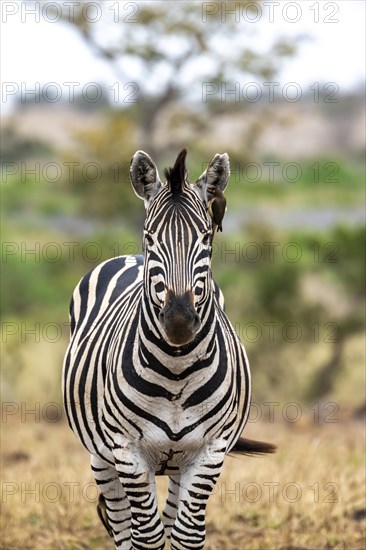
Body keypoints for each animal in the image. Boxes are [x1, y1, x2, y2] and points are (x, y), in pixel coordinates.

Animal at [63, 151, 274, 550]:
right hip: (101, 456)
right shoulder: (127, 451)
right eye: (150, 237)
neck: (176, 371)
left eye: (206, 237)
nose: (178, 320)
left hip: (178, 464)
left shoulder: (210, 452)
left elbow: (186, 536)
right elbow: (145, 537)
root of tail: (129, 257)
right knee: (122, 527)